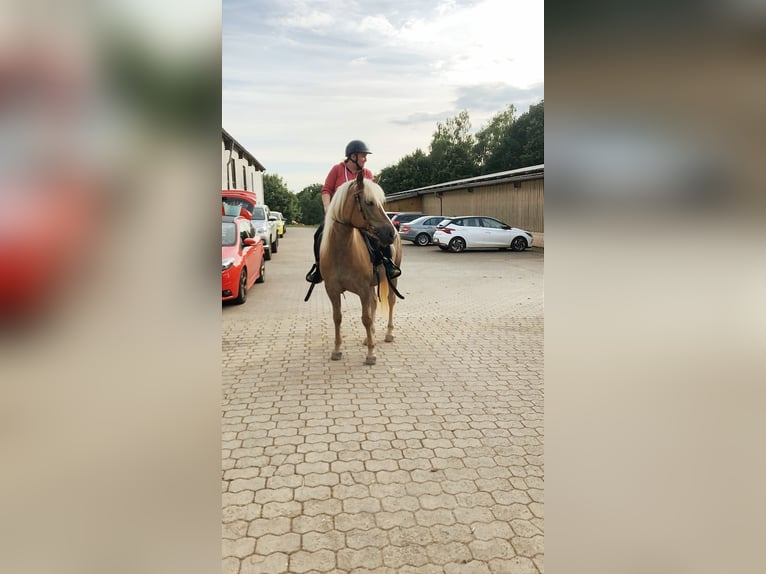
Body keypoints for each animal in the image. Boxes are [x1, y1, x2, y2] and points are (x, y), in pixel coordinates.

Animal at [320, 173, 404, 366]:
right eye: (369, 202)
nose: (390, 233)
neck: (342, 252)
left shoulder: (363, 289)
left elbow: (365, 318)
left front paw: (371, 354)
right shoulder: (332, 290)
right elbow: (337, 317)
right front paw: (337, 350)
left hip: (392, 278)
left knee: (390, 301)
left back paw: (388, 333)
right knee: (374, 302)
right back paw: (369, 336)